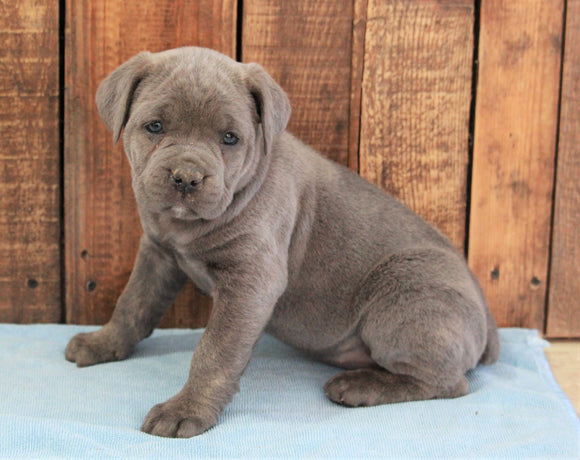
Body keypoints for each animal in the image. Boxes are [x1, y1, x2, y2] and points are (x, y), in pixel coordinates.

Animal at [64, 46, 498, 438]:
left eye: (230, 138)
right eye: (154, 127)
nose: (187, 177)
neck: (189, 225)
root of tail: (488, 322)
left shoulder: (251, 281)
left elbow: (214, 351)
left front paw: (185, 410)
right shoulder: (158, 254)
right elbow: (133, 304)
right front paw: (103, 343)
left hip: (405, 298)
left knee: (448, 382)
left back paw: (362, 385)